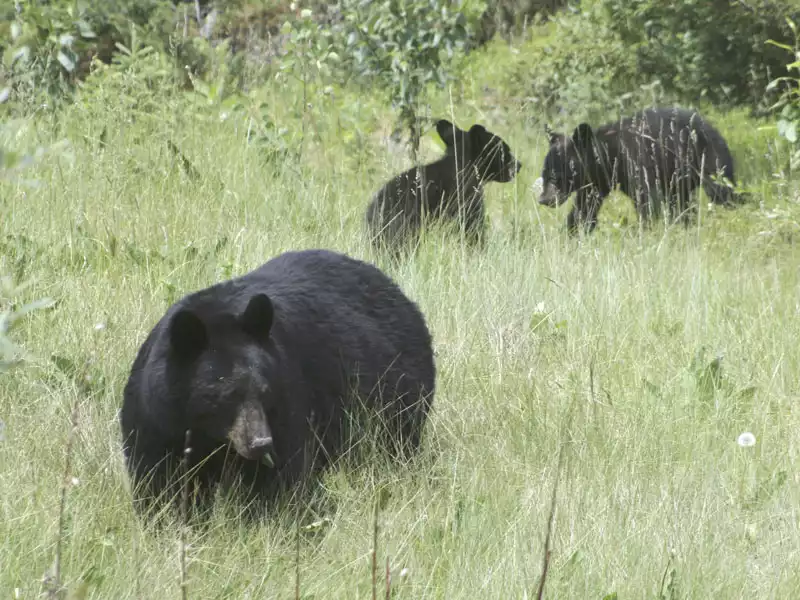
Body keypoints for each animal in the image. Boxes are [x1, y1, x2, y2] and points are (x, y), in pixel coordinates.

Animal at [118, 248, 434, 516]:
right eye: (224, 395)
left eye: (264, 390)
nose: (260, 443)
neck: (209, 435)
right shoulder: (156, 419)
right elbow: (160, 481)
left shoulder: (286, 402)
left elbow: (279, 477)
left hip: (396, 402)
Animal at [536, 106, 752, 233]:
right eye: (544, 174)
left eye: (555, 176)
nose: (543, 199)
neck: (609, 156)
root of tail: (714, 129)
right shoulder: (596, 182)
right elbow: (584, 208)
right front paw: (571, 232)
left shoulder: (638, 163)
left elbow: (648, 202)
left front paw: (646, 230)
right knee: (682, 204)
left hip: (710, 159)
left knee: (722, 192)